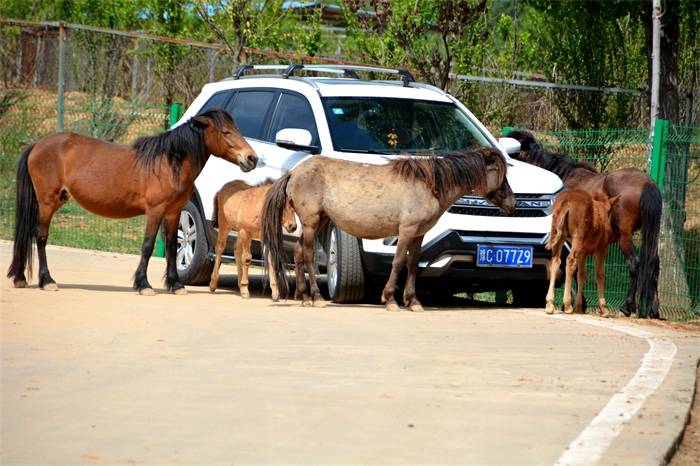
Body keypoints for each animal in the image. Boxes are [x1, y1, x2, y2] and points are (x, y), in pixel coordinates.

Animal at [6, 109, 258, 294]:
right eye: (226, 132)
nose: (251, 158)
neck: (169, 163)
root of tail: (37, 145)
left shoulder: (173, 212)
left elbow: (171, 247)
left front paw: (176, 285)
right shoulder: (155, 211)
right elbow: (147, 246)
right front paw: (143, 285)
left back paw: (20, 278)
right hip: (47, 202)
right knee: (40, 237)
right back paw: (47, 281)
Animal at [262, 147, 516, 312]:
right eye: (499, 174)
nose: (513, 203)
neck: (428, 185)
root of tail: (294, 172)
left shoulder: (419, 234)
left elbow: (413, 264)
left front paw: (413, 301)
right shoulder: (406, 230)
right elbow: (398, 262)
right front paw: (391, 299)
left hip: (319, 220)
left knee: (297, 252)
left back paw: (304, 296)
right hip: (312, 222)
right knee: (306, 254)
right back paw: (316, 297)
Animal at [504, 132, 660, 320]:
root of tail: (647, 183)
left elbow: (571, 266)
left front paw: (575, 302)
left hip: (625, 236)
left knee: (635, 263)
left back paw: (628, 306)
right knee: (654, 264)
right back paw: (654, 309)